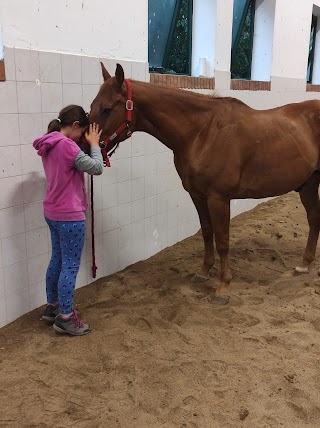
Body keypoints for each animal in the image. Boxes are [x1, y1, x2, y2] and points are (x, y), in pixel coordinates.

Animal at [89, 63, 320, 304]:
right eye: (92, 106)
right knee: (314, 219)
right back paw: (304, 264)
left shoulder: (219, 198)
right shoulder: (198, 195)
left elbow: (223, 241)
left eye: (106, 109)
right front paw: (203, 272)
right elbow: (207, 233)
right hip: (309, 183)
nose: (85, 145)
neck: (202, 133)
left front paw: (223, 287)